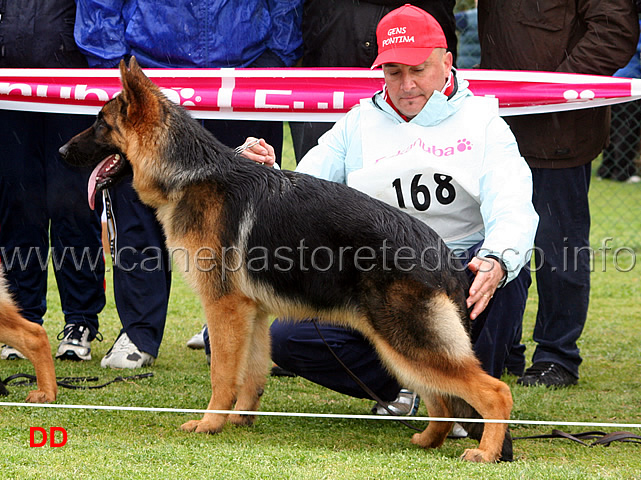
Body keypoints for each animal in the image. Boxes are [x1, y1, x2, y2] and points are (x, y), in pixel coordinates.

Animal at [58, 58, 510, 464]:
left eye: (99, 124)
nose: (61, 150)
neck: (191, 174)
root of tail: (442, 255)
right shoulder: (252, 312)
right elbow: (252, 371)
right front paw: (239, 419)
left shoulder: (224, 308)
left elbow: (222, 373)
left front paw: (208, 424)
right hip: (400, 345)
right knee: (442, 398)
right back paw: (428, 440)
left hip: (405, 341)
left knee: (494, 392)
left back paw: (485, 452)